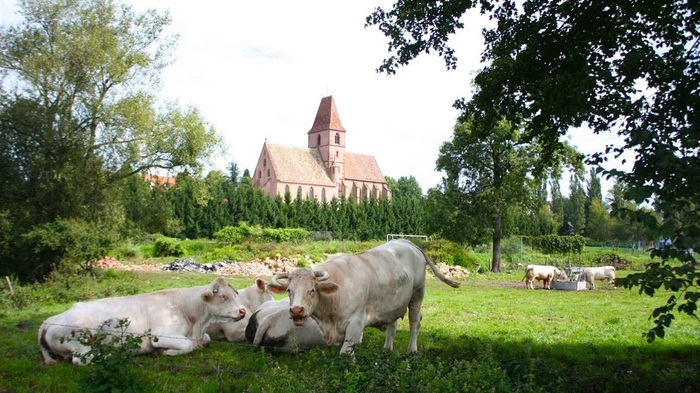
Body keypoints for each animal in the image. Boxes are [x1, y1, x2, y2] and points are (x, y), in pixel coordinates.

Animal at [39, 276, 246, 364]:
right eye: (223, 297)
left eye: (234, 294)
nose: (243, 311)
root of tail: (49, 320)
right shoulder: (160, 335)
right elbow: (188, 345)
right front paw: (165, 352)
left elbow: (205, 341)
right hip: (79, 338)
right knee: (82, 359)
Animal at [266, 237, 460, 354]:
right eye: (289, 290)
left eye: (311, 290)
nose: (296, 310)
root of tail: (405, 241)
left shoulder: (355, 323)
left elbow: (345, 354)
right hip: (394, 301)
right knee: (393, 324)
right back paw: (387, 349)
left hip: (417, 293)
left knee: (415, 321)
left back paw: (412, 350)